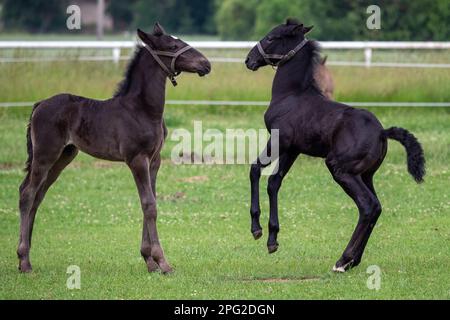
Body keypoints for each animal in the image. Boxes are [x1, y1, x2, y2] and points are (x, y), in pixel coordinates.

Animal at [17, 23, 211, 272]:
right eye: (173, 46)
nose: (206, 64)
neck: (143, 109)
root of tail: (39, 104)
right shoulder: (137, 159)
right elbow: (149, 204)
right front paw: (162, 261)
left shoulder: (154, 160)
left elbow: (151, 201)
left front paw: (149, 260)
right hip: (45, 155)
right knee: (27, 194)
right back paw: (24, 260)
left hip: (64, 156)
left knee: (38, 195)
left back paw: (26, 257)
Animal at [246, 18, 426, 272]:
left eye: (271, 37)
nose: (249, 60)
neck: (291, 95)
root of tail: (382, 132)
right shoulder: (293, 149)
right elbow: (274, 182)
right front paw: (272, 240)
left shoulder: (279, 140)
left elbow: (255, 169)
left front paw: (256, 229)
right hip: (366, 175)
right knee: (376, 207)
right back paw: (352, 261)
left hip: (341, 169)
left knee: (368, 206)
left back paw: (343, 260)